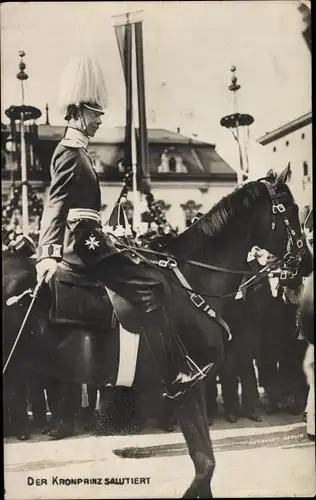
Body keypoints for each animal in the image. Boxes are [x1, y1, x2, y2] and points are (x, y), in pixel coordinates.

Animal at [2, 171, 312, 496]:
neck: (191, 283)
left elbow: (206, 462)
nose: (307, 260)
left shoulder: (193, 385)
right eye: (291, 209)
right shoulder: (186, 387)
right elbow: (205, 462)